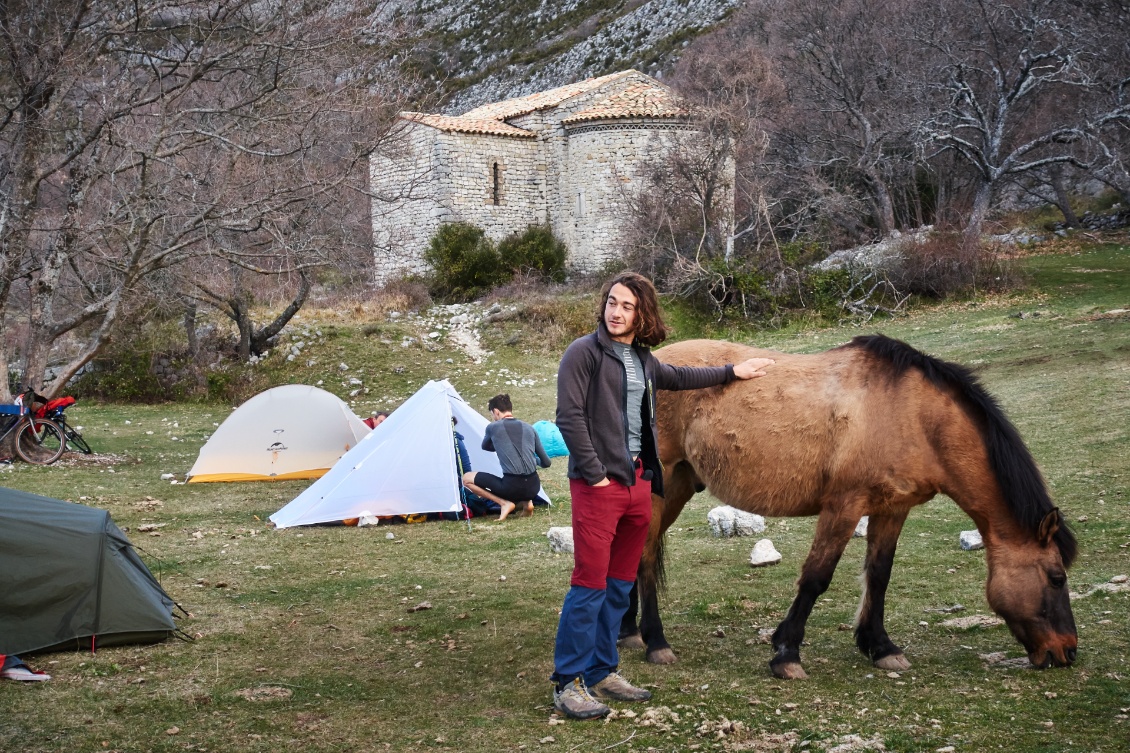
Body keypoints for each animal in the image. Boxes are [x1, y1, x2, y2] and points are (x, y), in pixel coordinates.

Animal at [623, 334, 1080, 673]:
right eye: (1057, 577)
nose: (1067, 652)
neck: (913, 416)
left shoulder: (892, 509)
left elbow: (879, 575)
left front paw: (881, 647)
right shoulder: (844, 505)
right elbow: (816, 577)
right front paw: (786, 653)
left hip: (680, 485)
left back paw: (628, 631)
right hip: (661, 486)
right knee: (643, 557)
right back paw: (655, 642)